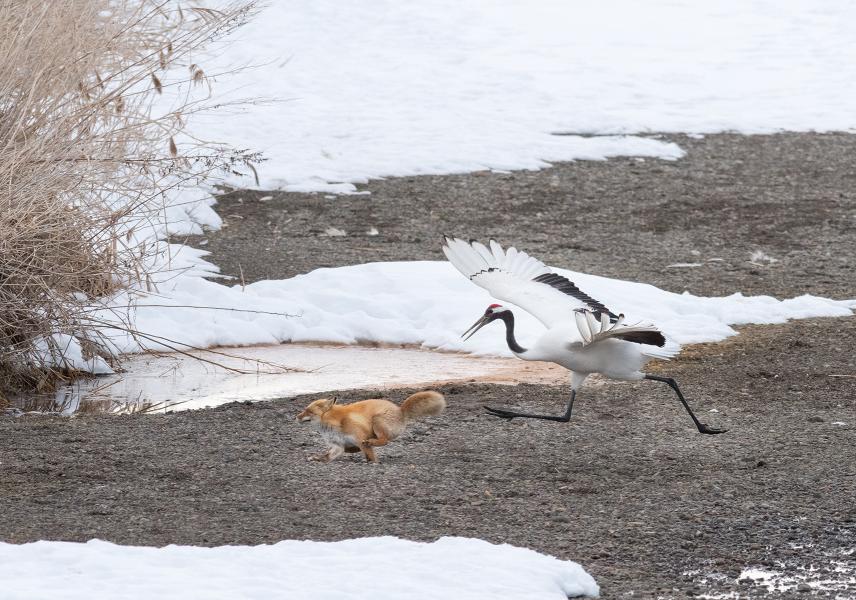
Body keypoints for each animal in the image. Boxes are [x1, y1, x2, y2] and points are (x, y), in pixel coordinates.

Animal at [296, 391, 446, 463]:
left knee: (384, 441)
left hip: (377, 421)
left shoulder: (358, 437)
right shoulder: (337, 445)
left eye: (308, 411)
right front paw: (317, 459)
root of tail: (400, 410)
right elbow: (327, 456)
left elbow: (371, 456)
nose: (296, 417)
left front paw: (373, 463)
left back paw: (372, 442)